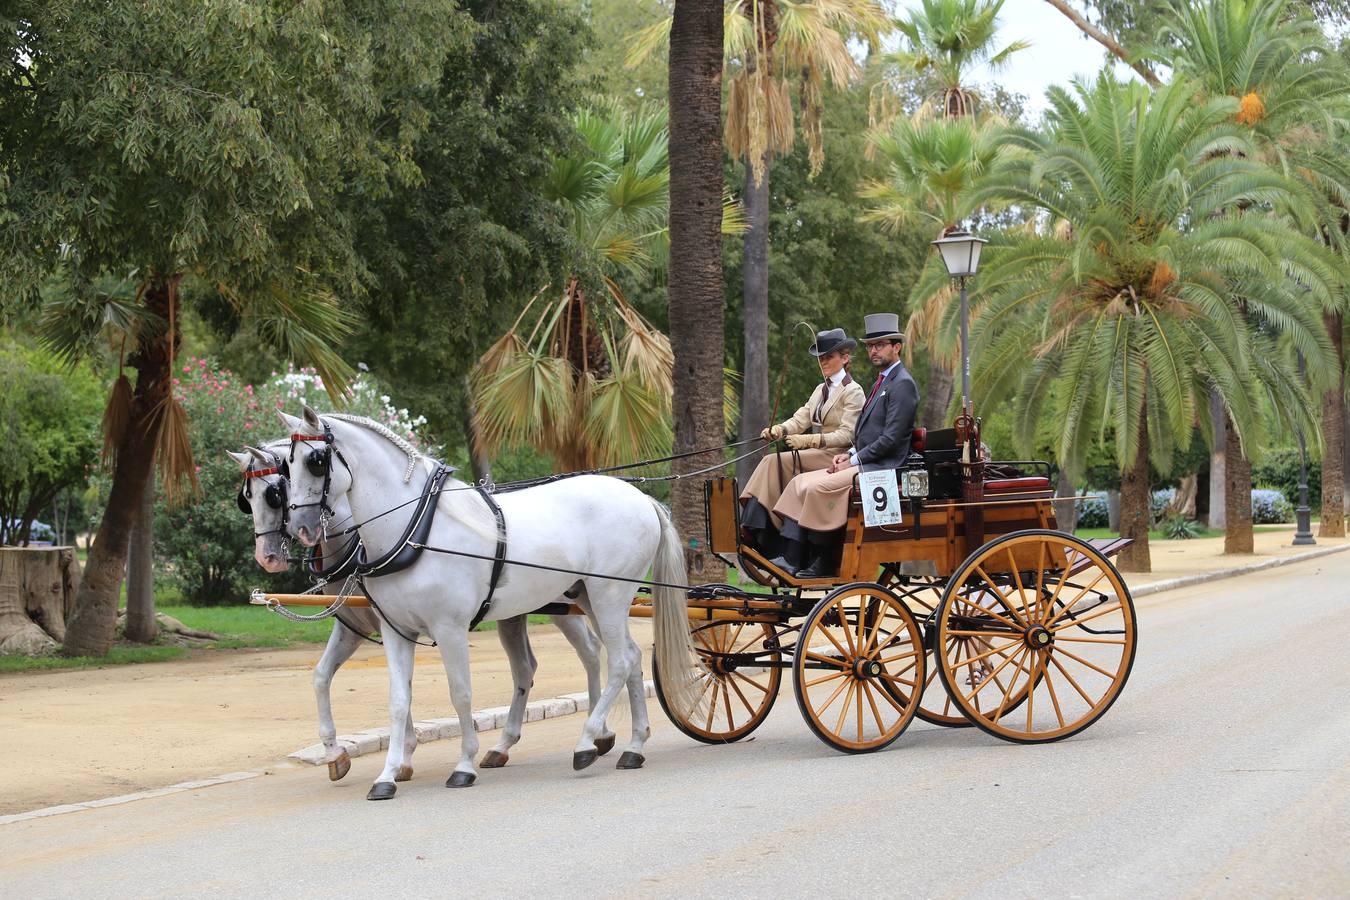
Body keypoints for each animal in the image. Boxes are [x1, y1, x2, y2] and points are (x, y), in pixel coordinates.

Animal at [230, 445, 612, 804]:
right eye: (247, 497)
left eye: (275, 491)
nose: (268, 557)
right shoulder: (357, 626)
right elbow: (324, 677)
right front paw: (338, 754)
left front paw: (403, 758)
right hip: (516, 613)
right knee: (525, 668)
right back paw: (505, 745)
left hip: (566, 603)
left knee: (592, 653)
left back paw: (599, 733)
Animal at [271, 404, 696, 798]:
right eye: (286, 467)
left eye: (316, 461)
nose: (301, 529)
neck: (416, 528)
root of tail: (641, 498)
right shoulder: (397, 631)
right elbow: (398, 701)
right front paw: (388, 775)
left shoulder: (450, 629)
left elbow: (461, 695)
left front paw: (464, 765)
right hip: (589, 597)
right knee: (631, 658)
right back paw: (634, 745)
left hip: (608, 595)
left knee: (620, 661)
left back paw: (587, 742)